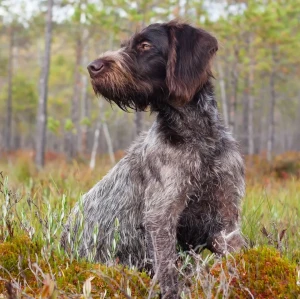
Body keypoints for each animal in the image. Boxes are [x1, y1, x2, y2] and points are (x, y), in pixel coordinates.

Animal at [60, 19, 244, 298]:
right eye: (125, 45)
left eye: (145, 45)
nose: (93, 67)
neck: (197, 138)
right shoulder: (161, 217)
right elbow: (167, 270)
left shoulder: (226, 219)